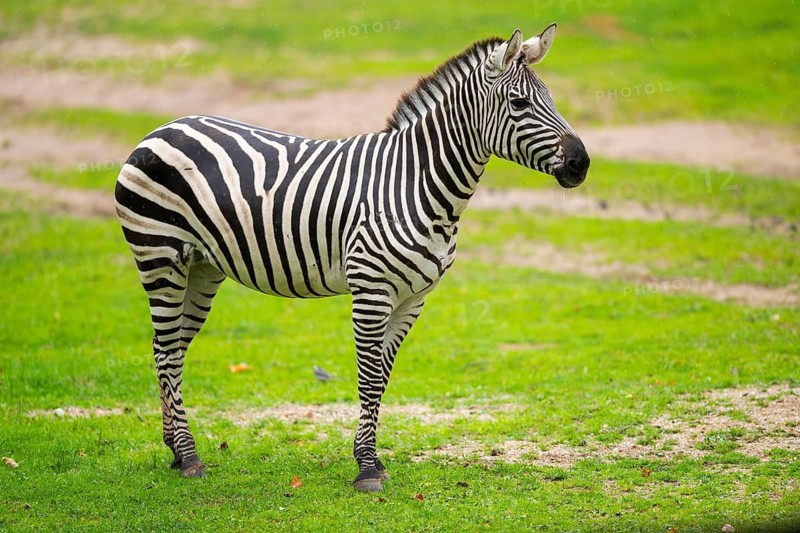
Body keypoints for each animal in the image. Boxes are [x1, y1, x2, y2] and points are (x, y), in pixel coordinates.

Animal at [114, 23, 589, 492]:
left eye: (550, 97)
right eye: (520, 103)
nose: (581, 164)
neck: (416, 184)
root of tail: (164, 127)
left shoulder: (413, 298)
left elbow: (383, 376)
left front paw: (372, 460)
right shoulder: (371, 291)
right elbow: (368, 375)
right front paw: (366, 468)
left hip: (201, 267)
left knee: (170, 347)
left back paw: (176, 450)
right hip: (159, 255)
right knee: (165, 349)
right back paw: (189, 455)